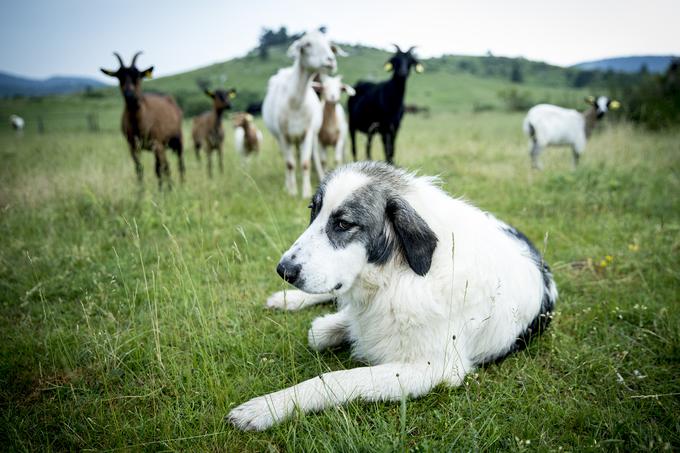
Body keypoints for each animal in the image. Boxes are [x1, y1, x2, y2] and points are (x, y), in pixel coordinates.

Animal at [99, 52, 185, 188]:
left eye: (138, 76)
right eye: (119, 77)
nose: (129, 95)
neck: (139, 123)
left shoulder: (156, 143)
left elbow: (160, 168)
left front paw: (165, 190)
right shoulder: (133, 146)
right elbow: (139, 169)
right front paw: (141, 192)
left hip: (177, 140)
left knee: (178, 163)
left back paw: (180, 185)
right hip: (162, 146)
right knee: (165, 165)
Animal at [228, 161, 556, 430]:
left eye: (343, 224)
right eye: (313, 210)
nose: (283, 270)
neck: (399, 272)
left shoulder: (433, 368)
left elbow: (336, 378)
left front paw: (267, 407)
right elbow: (325, 330)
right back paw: (289, 300)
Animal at [262, 30, 346, 196]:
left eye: (329, 45)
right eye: (307, 44)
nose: (331, 60)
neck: (296, 102)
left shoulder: (307, 132)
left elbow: (305, 163)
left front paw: (306, 191)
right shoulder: (283, 135)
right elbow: (289, 164)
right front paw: (292, 191)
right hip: (282, 138)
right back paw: (288, 183)